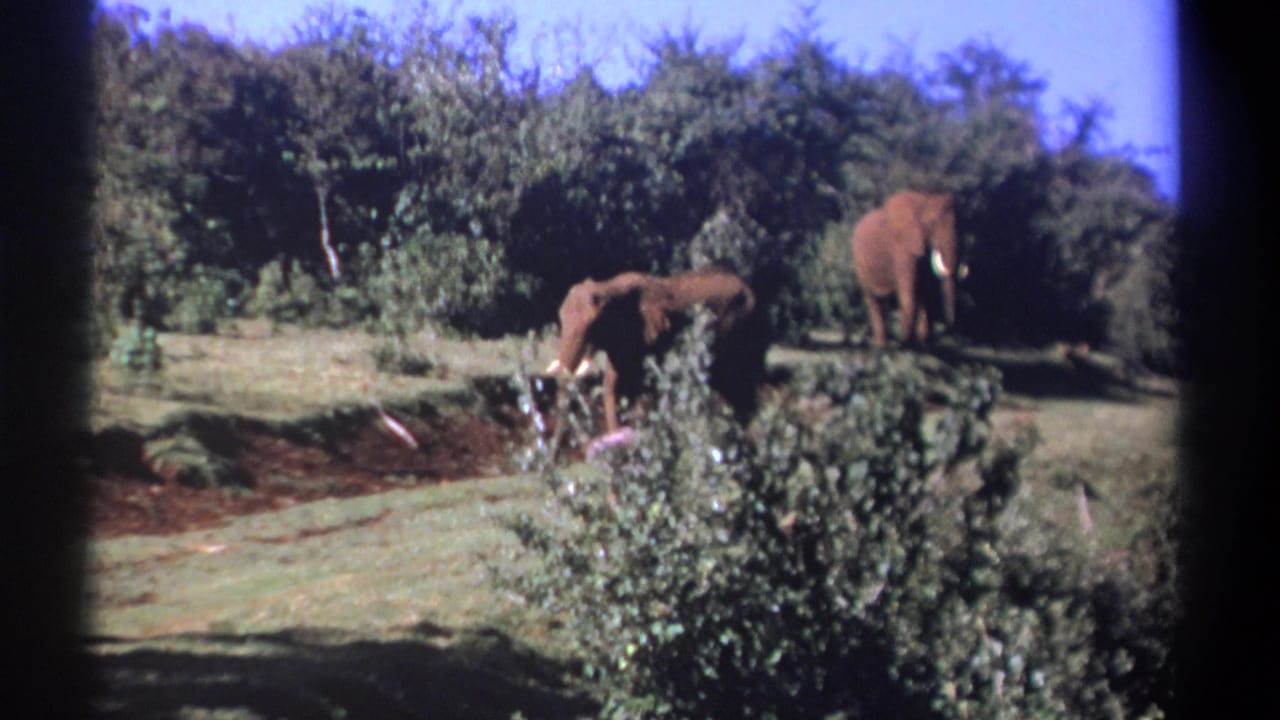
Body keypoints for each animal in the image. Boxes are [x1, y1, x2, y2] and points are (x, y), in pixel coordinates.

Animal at [851, 191, 964, 347]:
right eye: (931, 223)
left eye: (960, 226)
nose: (949, 326)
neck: (925, 200)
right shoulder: (902, 247)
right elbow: (909, 290)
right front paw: (907, 343)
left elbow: (925, 291)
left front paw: (923, 345)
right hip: (860, 263)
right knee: (873, 300)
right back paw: (882, 344)